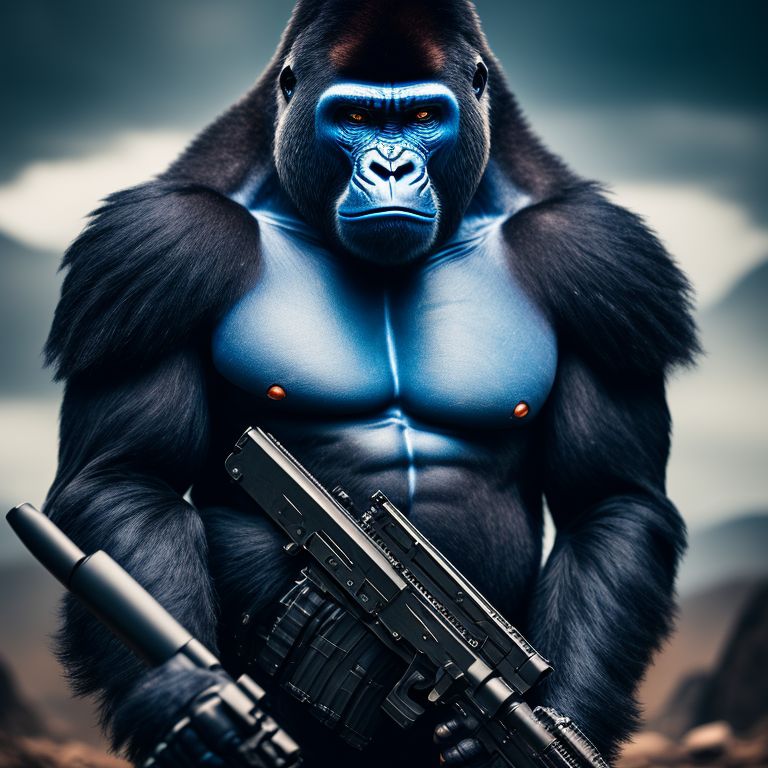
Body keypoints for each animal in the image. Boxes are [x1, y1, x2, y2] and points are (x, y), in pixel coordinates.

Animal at [42, 1, 698, 765]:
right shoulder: (155, 247)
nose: (390, 165)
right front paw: (194, 702)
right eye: (354, 115)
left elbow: (608, 498)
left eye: (422, 117)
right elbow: (128, 474)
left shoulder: (601, 258)